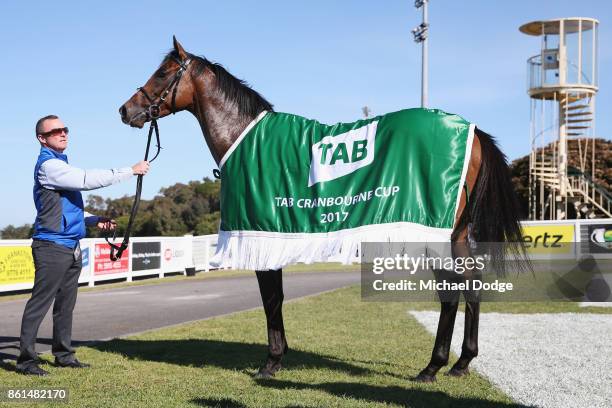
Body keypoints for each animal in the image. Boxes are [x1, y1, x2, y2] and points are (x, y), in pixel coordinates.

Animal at [118, 36, 524, 380]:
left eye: (163, 73)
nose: (125, 110)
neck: (245, 138)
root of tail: (472, 131)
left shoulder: (262, 233)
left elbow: (271, 299)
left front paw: (272, 362)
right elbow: (275, 298)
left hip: (434, 232)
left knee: (451, 289)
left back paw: (432, 367)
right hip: (455, 233)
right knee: (471, 284)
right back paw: (461, 363)